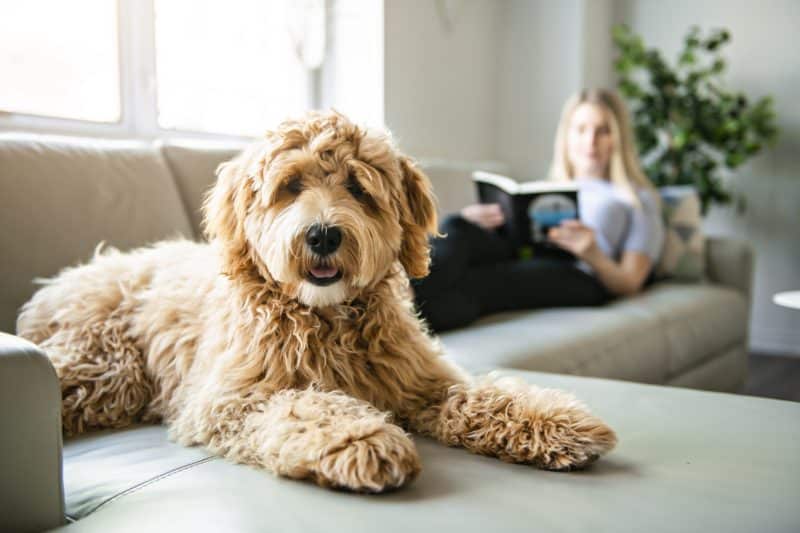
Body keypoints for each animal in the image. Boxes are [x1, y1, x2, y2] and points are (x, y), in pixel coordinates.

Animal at [18, 111, 620, 490]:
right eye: (290, 186)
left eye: (358, 187)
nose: (324, 235)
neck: (327, 317)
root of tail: (67, 278)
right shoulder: (231, 399)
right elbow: (305, 405)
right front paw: (362, 438)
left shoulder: (423, 381)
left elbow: (481, 396)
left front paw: (555, 421)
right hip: (107, 367)